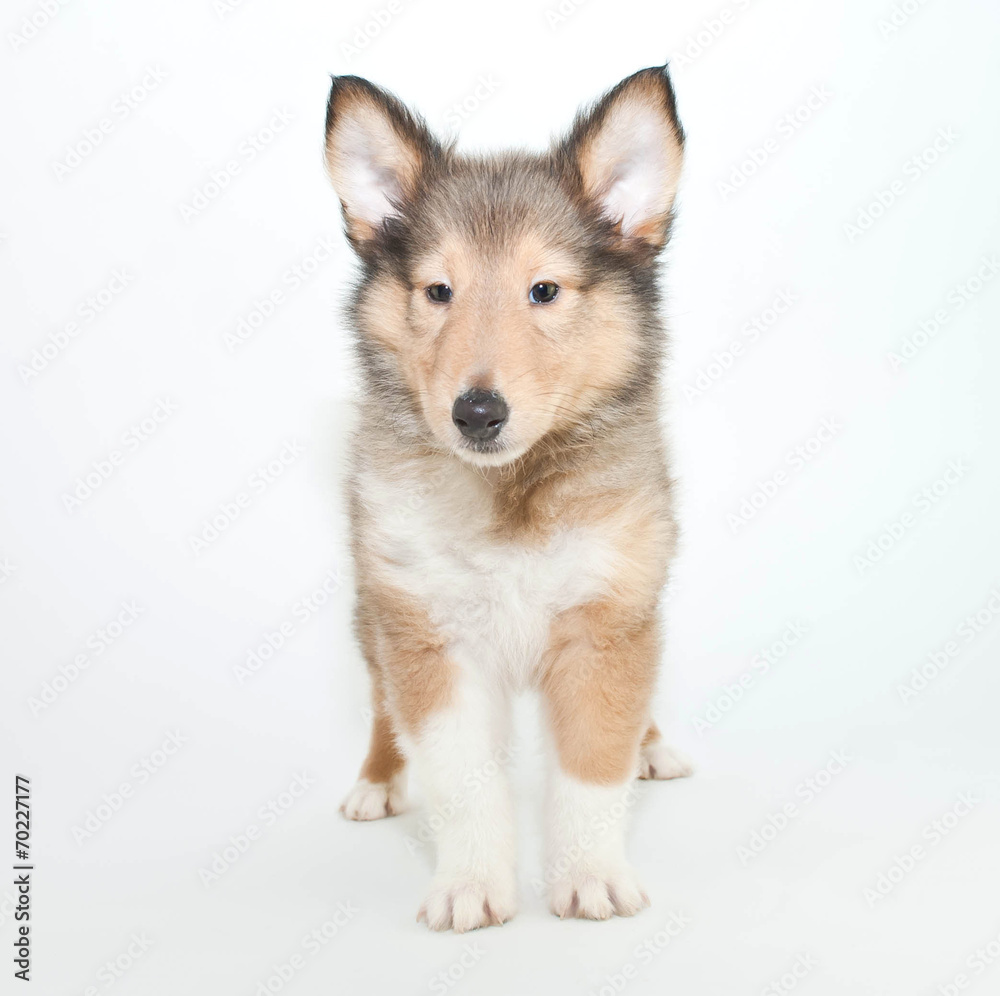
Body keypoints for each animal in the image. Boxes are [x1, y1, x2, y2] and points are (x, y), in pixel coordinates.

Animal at [324, 66, 692, 928]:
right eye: (438, 291)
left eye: (545, 290)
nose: (477, 413)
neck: (509, 491)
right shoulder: (429, 634)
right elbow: (462, 783)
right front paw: (469, 887)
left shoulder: (608, 623)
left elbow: (592, 772)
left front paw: (591, 878)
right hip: (370, 611)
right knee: (381, 704)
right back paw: (374, 782)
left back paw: (654, 745)